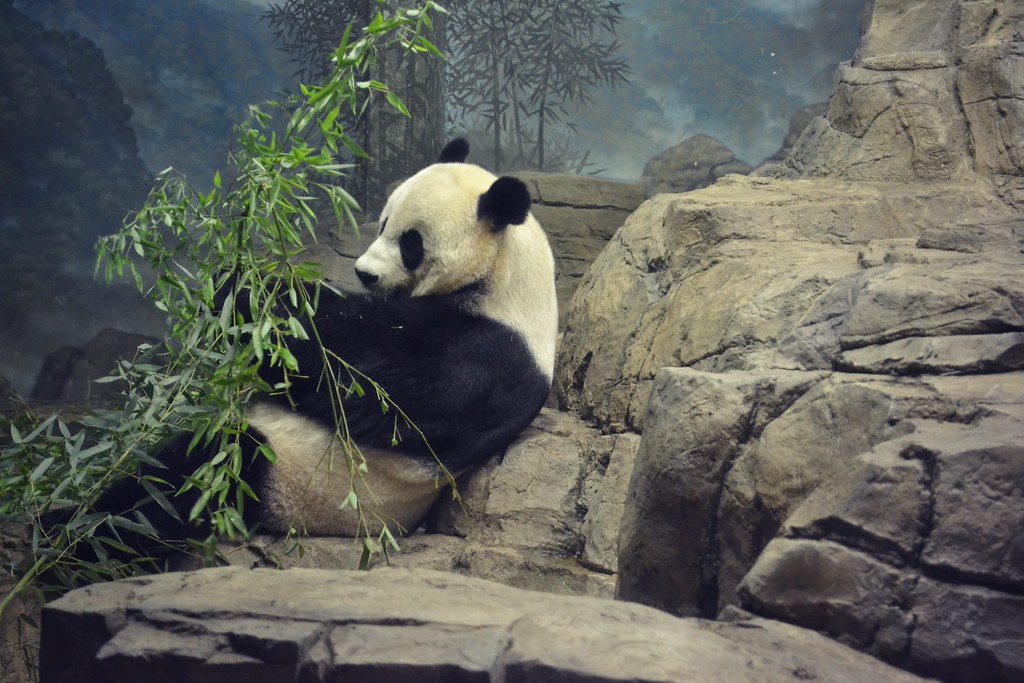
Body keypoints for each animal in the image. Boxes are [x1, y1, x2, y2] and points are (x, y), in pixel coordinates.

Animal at [93, 138, 558, 542]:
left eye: (411, 243)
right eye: (383, 222)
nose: (364, 273)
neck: (505, 277)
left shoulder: (480, 357)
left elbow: (352, 372)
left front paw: (240, 290)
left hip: (291, 484)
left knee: (185, 478)